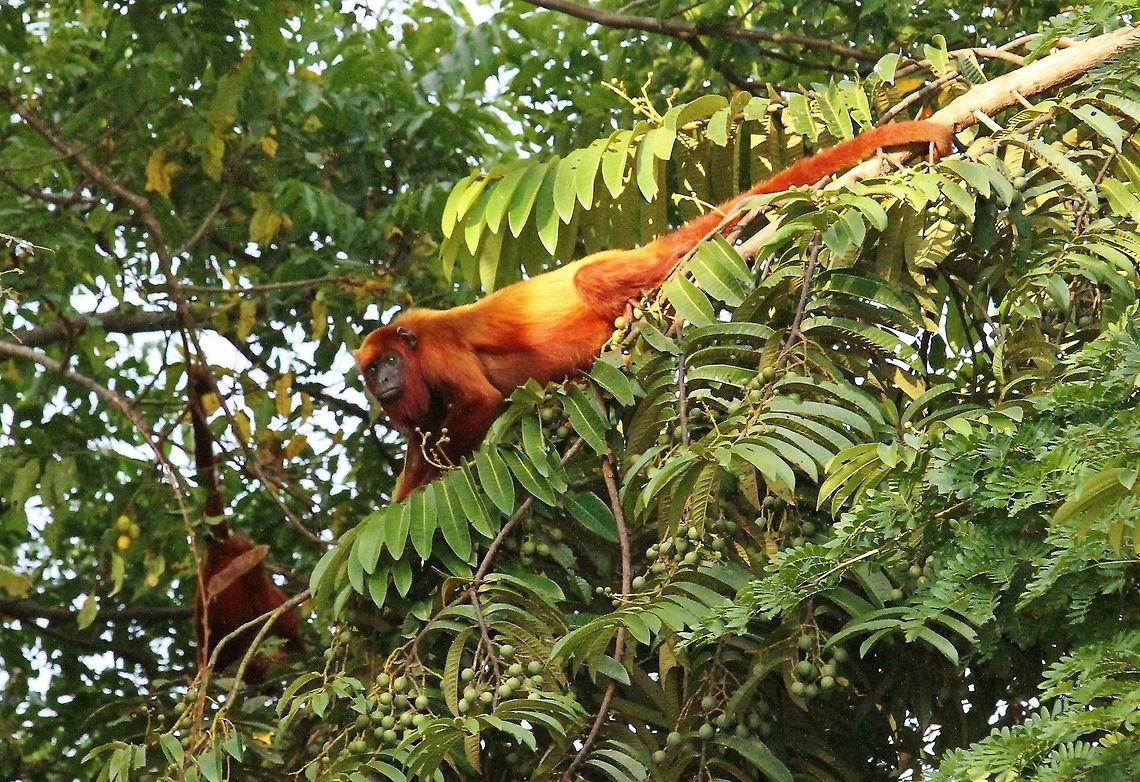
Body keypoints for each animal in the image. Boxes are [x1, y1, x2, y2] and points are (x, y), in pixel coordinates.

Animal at [356, 121, 954, 501]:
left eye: (390, 363)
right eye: (372, 371)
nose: (382, 382)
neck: (413, 350)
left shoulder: (438, 350)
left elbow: (479, 399)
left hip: (628, 269)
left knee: (593, 281)